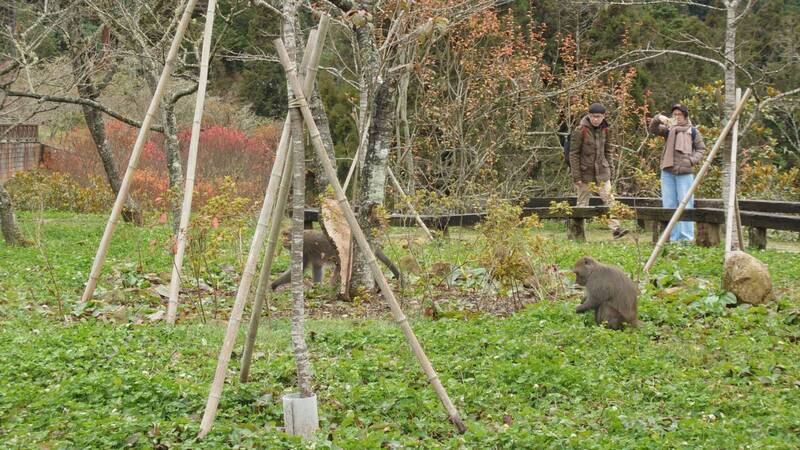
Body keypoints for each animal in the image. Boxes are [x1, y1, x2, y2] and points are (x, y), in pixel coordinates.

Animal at [272, 230, 404, 290]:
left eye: (286, 235)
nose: (283, 241)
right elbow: (317, 267)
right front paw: (317, 289)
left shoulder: (303, 250)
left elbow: (297, 271)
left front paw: (273, 285)